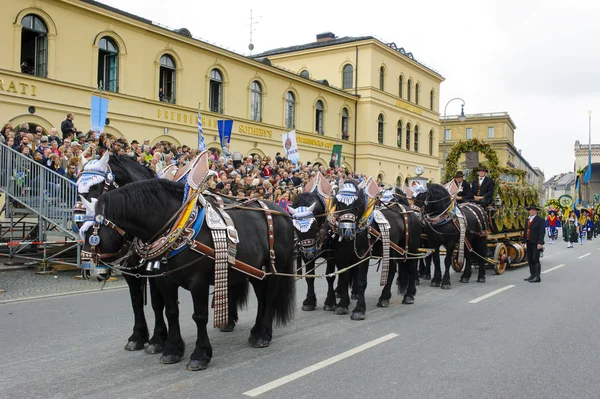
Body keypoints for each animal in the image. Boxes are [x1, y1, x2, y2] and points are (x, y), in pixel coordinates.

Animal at [82, 180, 296, 370]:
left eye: (93, 233)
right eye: (81, 230)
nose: (91, 272)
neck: (180, 228)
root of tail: (282, 212)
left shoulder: (197, 281)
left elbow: (199, 316)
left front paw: (200, 355)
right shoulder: (164, 279)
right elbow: (170, 311)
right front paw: (171, 349)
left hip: (274, 266)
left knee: (269, 296)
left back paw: (262, 336)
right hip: (255, 270)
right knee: (261, 297)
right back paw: (258, 331)